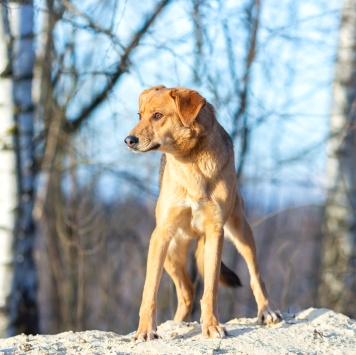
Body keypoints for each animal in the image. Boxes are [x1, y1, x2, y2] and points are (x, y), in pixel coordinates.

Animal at [124, 84, 282, 342]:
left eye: (157, 115)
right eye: (140, 116)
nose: (129, 140)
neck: (190, 162)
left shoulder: (215, 232)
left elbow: (211, 290)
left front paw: (211, 326)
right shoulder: (161, 234)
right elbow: (149, 291)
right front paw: (146, 330)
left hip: (240, 231)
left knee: (255, 274)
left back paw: (267, 310)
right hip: (171, 252)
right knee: (187, 291)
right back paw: (177, 323)